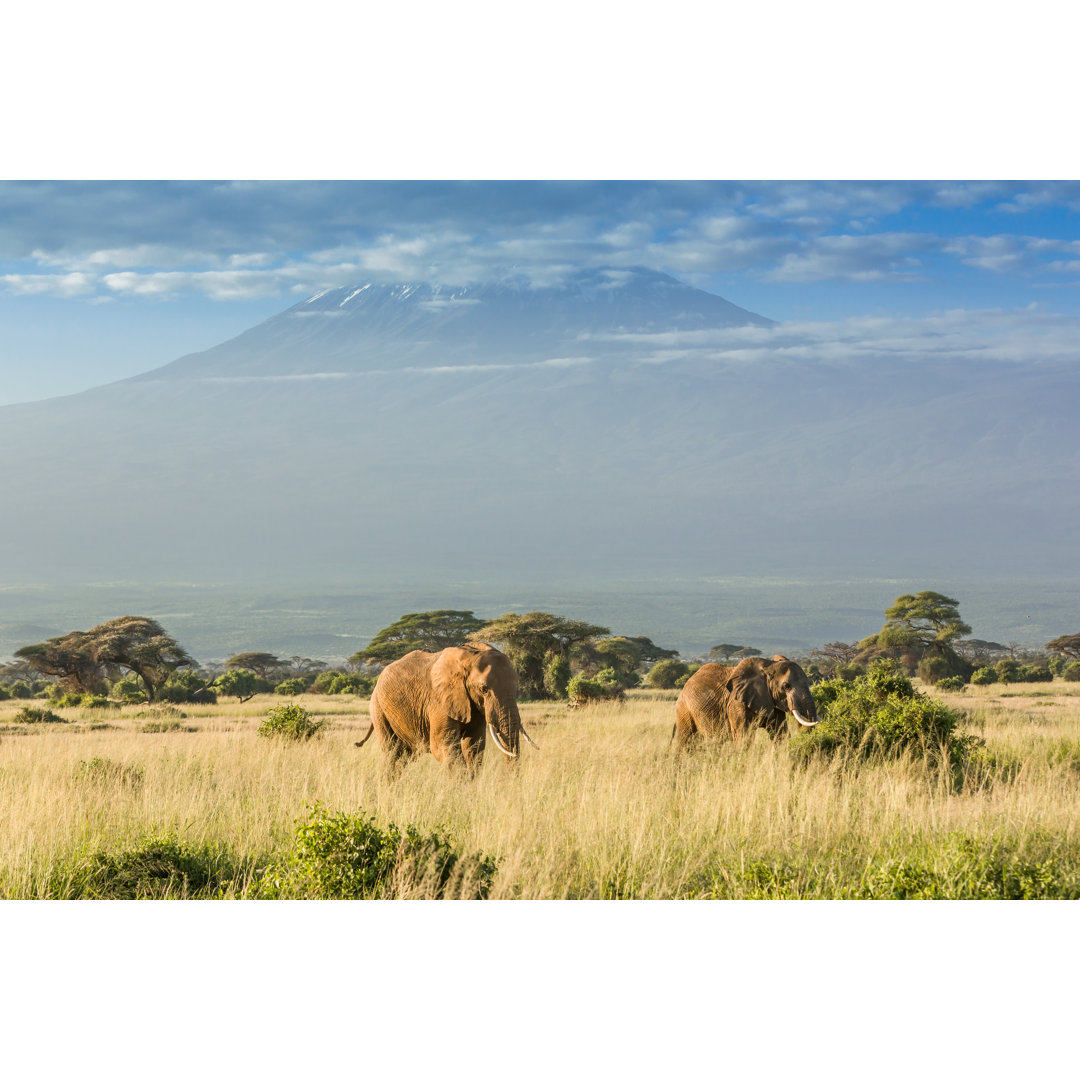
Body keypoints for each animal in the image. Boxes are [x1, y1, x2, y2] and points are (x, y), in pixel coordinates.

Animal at [356, 639, 537, 777]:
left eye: (516, 689)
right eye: (484, 689)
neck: (469, 657)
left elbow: (474, 745)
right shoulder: (438, 701)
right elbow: (443, 746)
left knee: (405, 756)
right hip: (378, 708)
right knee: (392, 752)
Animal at [669, 652, 820, 756]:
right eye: (786, 686)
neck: (769, 665)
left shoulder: (771, 700)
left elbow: (780, 734)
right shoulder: (736, 703)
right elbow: (743, 736)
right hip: (684, 709)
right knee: (686, 740)